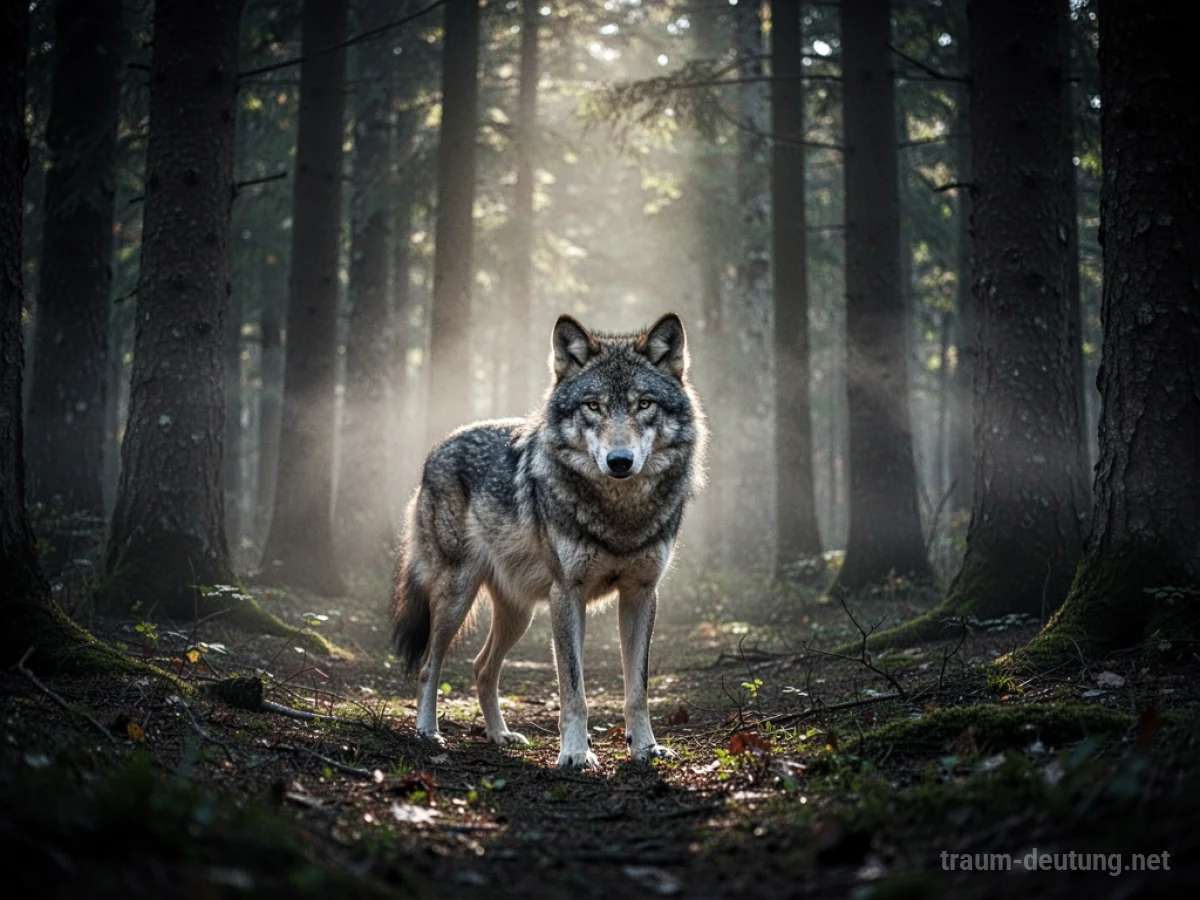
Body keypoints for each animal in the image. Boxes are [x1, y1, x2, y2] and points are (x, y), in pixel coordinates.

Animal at [392, 313, 705, 768]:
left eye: (644, 404)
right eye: (593, 405)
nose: (620, 461)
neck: (620, 514)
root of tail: (437, 448)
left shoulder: (641, 595)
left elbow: (638, 690)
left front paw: (645, 748)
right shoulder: (567, 593)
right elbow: (573, 690)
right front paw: (575, 753)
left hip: (518, 614)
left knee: (482, 667)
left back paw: (500, 735)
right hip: (456, 597)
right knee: (428, 665)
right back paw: (427, 732)